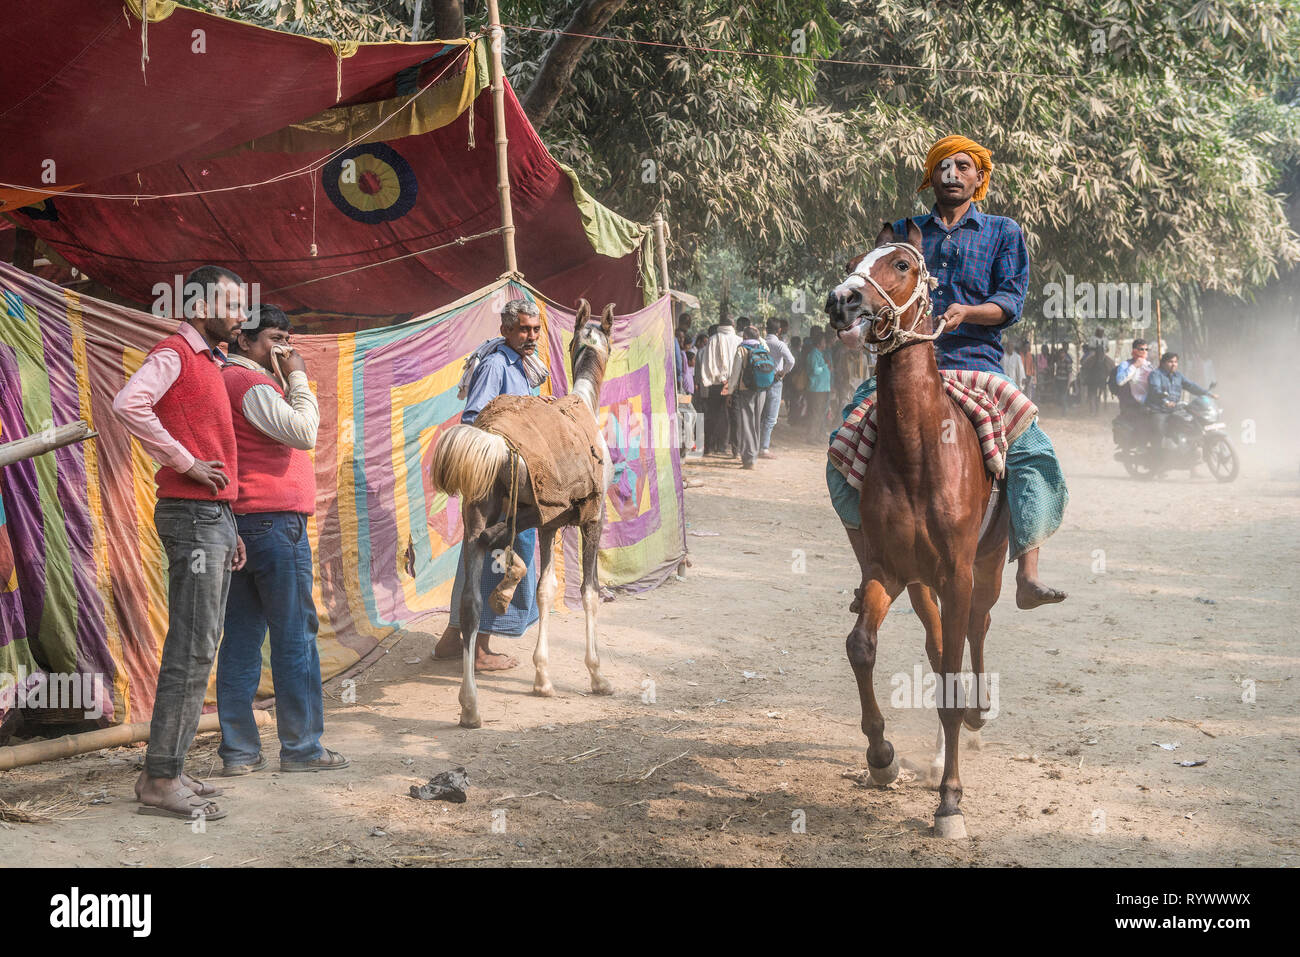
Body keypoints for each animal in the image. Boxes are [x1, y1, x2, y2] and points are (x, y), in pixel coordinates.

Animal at [826, 217, 1008, 837]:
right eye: (853, 261)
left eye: (901, 265)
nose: (841, 300)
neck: (919, 450)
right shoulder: (890, 570)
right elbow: (860, 646)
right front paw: (881, 756)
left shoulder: (958, 574)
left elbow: (952, 677)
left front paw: (950, 801)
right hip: (926, 585)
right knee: (937, 646)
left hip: (985, 570)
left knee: (975, 633)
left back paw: (977, 717)